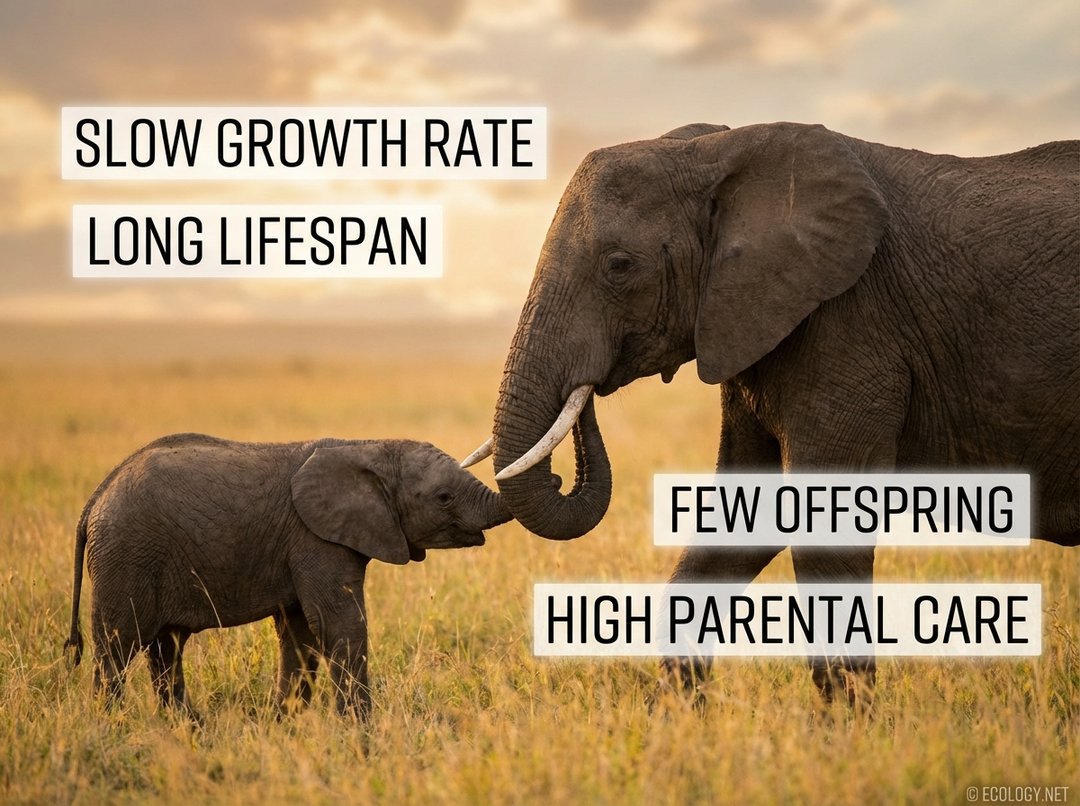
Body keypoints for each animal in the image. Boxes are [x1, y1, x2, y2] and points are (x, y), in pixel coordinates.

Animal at [65, 433, 510, 718]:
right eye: (444, 498)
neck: (368, 446)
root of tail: (95, 499)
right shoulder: (313, 538)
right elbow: (337, 624)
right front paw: (362, 735)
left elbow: (301, 635)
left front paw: (283, 725)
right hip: (126, 556)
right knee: (118, 646)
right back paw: (112, 728)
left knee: (165, 649)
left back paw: (190, 730)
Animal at [464, 121, 1079, 699]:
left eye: (619, 265)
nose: (588, 389)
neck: (720, 150)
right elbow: (735, 527)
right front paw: (673, 723)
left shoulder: (849, 323)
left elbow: (822, 530)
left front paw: (851, 730)